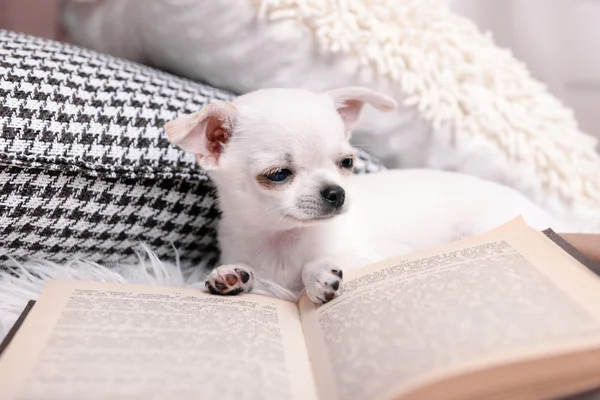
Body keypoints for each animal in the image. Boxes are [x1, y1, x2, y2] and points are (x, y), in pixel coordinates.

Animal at [164, 86, 556, 304]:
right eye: (278, 175)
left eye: (347, 163)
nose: (335, 193)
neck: (284, 241)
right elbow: (257, 279)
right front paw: (230, 276)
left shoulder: (370, 259)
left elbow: (312, 269)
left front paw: (318, 276)